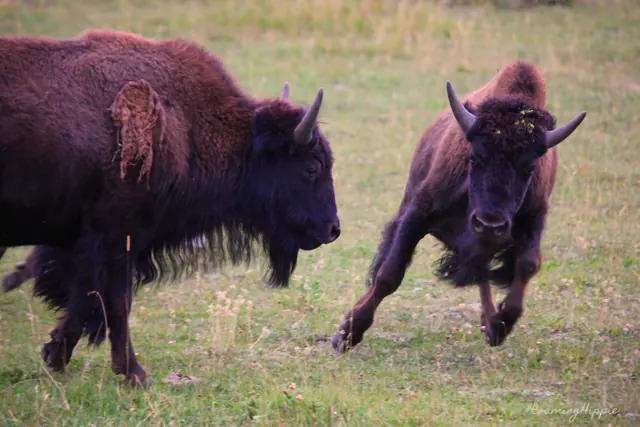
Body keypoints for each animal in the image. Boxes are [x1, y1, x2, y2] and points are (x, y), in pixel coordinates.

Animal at [0, 29, 340, 386]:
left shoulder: (95, 244)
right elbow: (116, 301)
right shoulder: (119, 237)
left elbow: (87, 297)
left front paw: (55, 355)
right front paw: (135, 374)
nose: (333, 229)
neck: (187, 126)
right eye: (312, 167)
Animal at [332, 61, 586, 352]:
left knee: (482, 269)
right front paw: (346, 335)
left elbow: (526, 268)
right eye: (474, 156)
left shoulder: (533, 219)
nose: (489, 223)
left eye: (530, 167)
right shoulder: (418, 214)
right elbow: (389, 275)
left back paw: (490, 323)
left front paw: (499, 327)